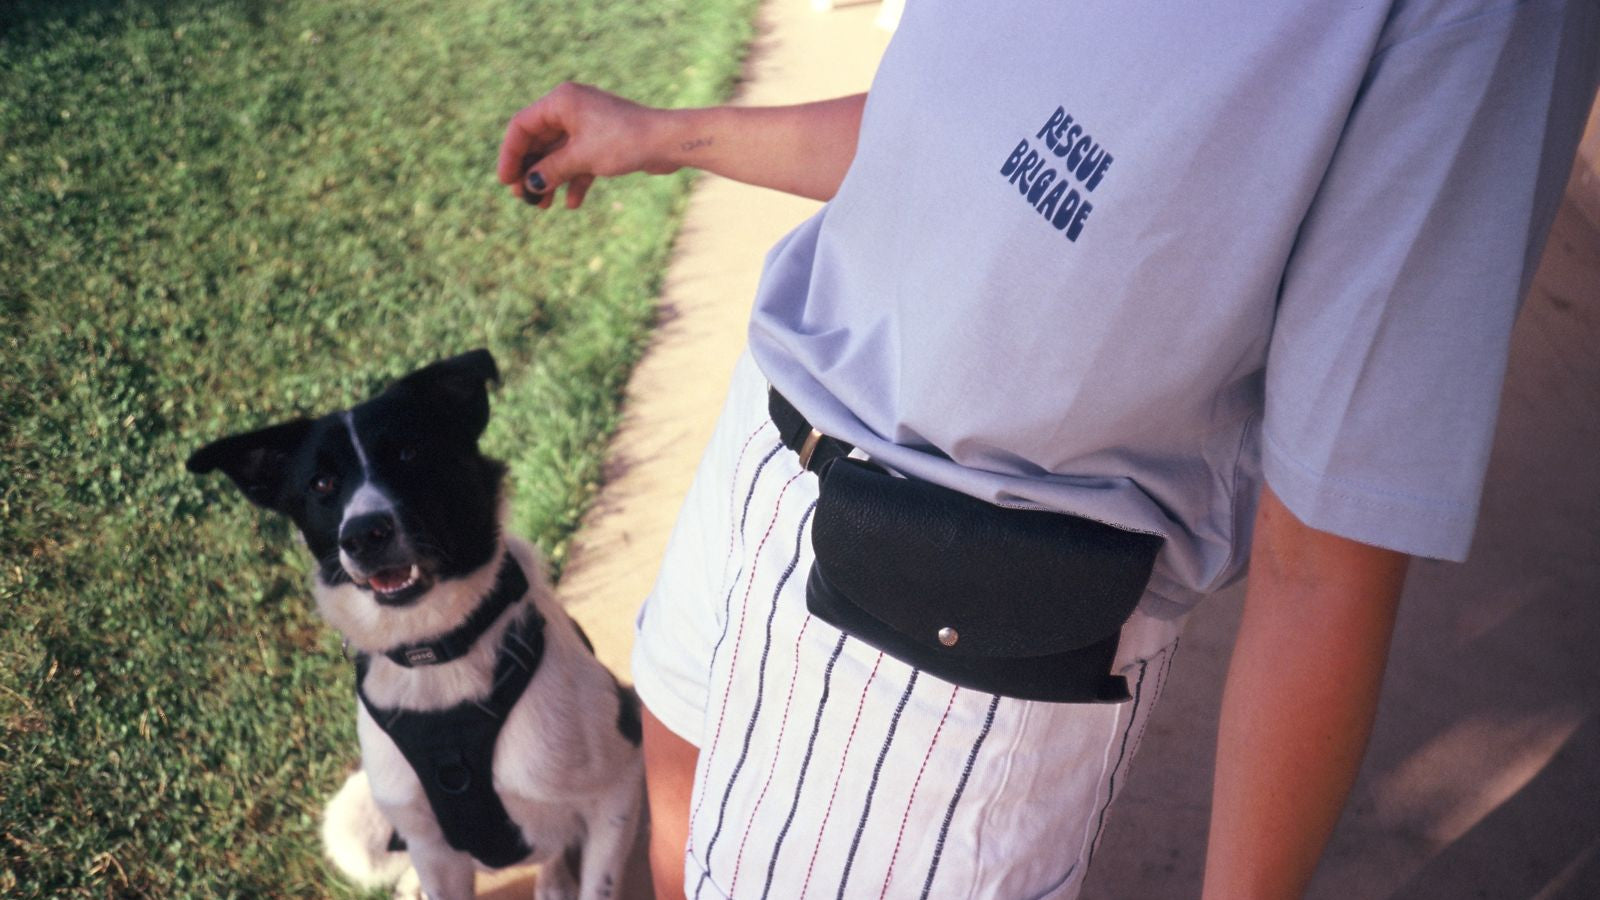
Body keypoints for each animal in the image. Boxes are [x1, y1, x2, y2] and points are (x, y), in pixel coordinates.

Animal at [187, 349, 645, 900]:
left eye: (409, 453)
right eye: (321, 483)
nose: (363, 535)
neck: (435, 651)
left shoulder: (618, 787)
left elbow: (598, 880)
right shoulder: (430, 848)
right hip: (355, 821)